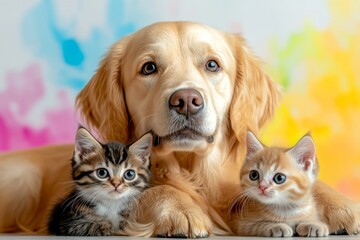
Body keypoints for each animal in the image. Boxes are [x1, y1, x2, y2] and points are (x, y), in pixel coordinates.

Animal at [0, 21, 360, 236]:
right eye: (149, 68)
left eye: (212, 64)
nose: (186, 100)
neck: (195, 171)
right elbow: (152, 189)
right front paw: (179, 210)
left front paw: (343, 207)